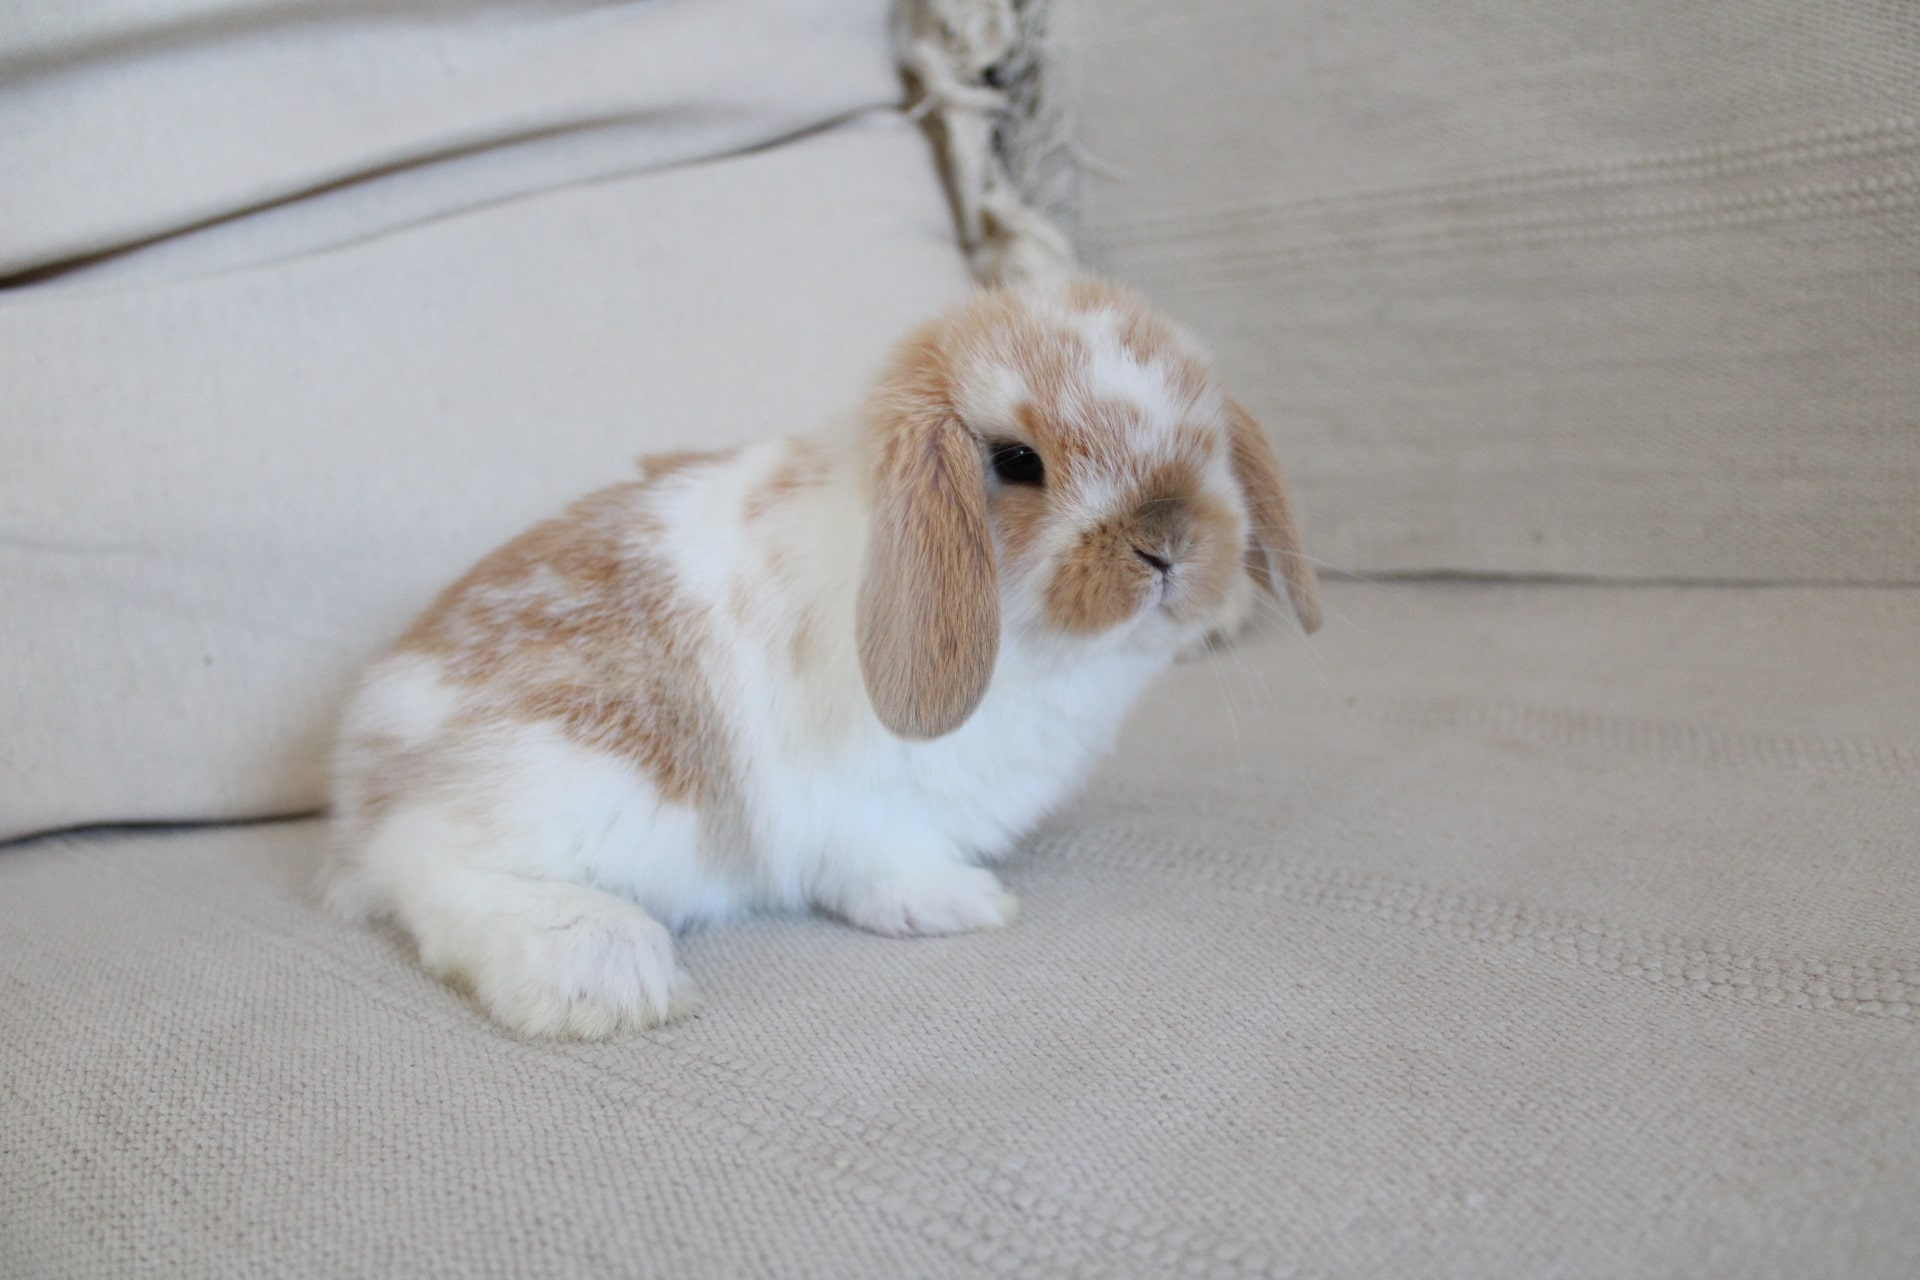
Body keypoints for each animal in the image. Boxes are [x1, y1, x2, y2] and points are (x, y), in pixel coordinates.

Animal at [323, 276, 1321, 1040]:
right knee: (434, 871)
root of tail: (362, 777)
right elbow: (881, 863)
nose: (1170, 546)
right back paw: (604, 973)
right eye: (1017, 460)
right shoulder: (867, 804)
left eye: (1207, 439)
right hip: (577, 781)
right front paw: (962, 902)